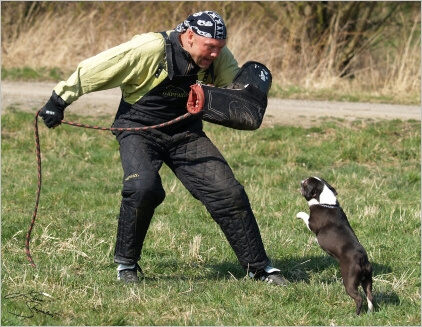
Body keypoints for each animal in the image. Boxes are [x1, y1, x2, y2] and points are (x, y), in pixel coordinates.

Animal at [296, 178, 374, 316]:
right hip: (367, 279)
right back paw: (370, 312)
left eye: (305, 183)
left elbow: (305, 215)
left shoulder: (312, 224)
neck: (326, 203)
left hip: (349, 280)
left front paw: (298, 214)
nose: (301, 181)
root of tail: (362, 259)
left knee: (359, 298)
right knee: (369, 295)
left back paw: (356, 315)